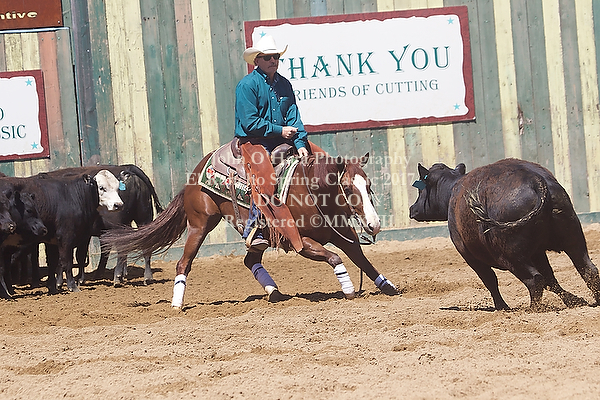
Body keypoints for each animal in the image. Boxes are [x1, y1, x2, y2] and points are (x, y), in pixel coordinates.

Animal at [101, 142, 399, 308]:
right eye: (347, 188)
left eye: (368, 185)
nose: (374, 224)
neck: (310, 190)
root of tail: (196, 172)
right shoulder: (300, 242)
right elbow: (336, 258)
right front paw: (348, 288)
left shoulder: (342, 233)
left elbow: (361, 258)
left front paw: (388, 287)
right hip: (200, 225)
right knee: (183, 263)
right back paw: (177, 304)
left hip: (255, 235)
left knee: (249, 260)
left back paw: (274, 292)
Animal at [409, 158, 600, 311]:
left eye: (420, 190)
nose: (412, 209)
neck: (452, 192)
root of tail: (535, 180)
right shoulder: (537, 252)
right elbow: (550, 278)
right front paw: (574, 300)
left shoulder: (469, 256)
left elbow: (490, 280)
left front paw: (502, 307)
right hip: (573, 239)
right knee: (587, 270)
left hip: (509, 255)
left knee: (534, 279)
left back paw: (533, 309)